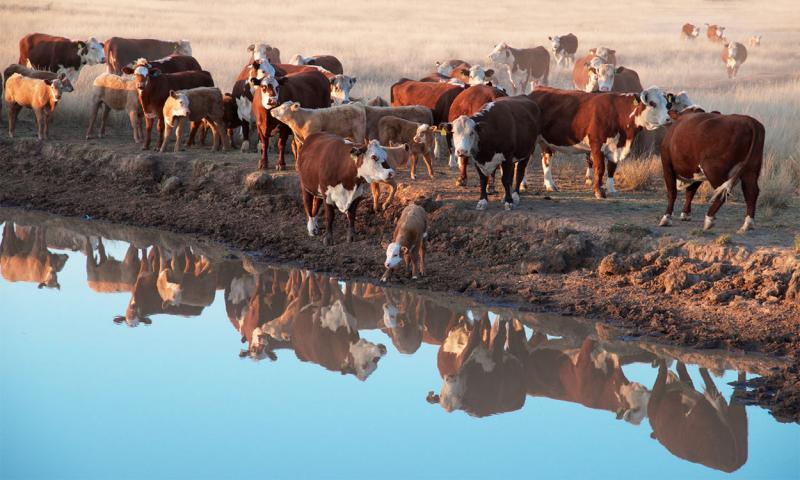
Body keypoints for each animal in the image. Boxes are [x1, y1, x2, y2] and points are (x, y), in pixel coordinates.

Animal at [529, 86, 672, 198]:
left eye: (667, 104)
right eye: (652, 103)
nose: (668, 119)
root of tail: (538, 89)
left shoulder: (615, 147)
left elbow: (611, 168)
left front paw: (611, 189)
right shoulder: (596, 144)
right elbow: (600, 168)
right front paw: (598, 191)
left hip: (545, 142)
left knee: (547, 160)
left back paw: (550, 185)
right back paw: (525, 185)